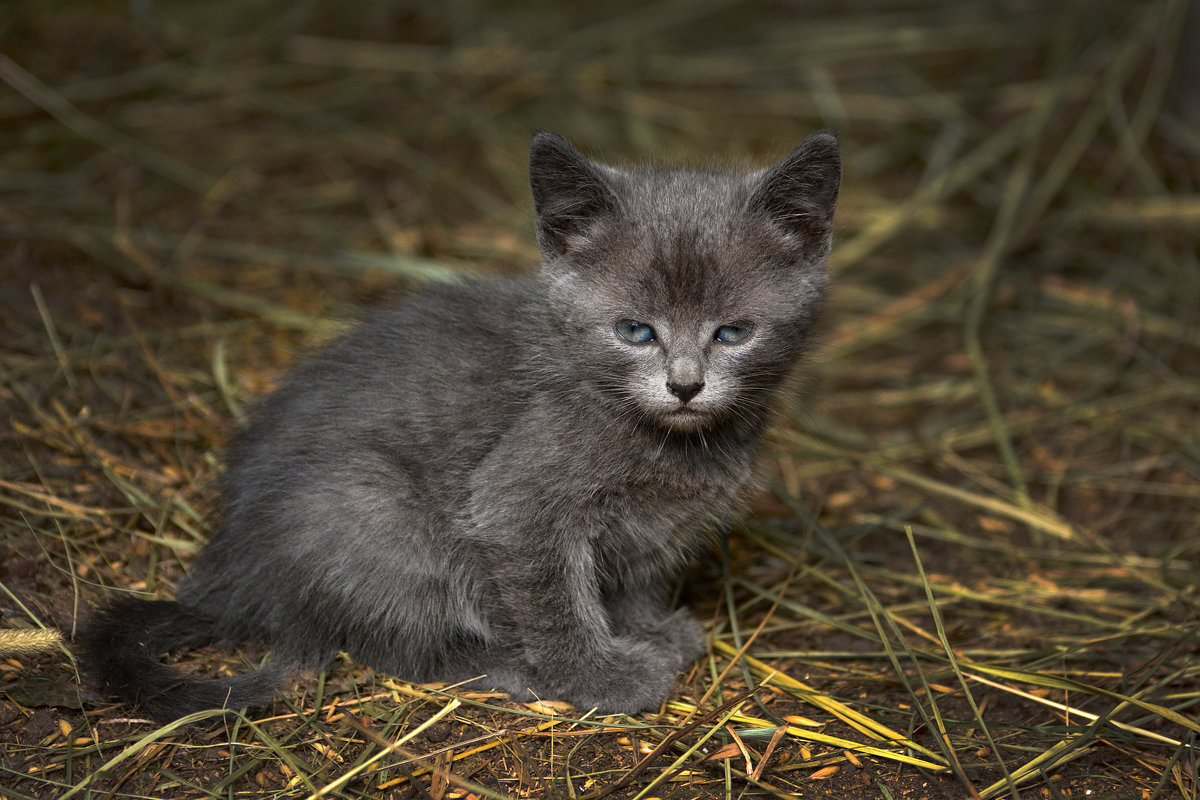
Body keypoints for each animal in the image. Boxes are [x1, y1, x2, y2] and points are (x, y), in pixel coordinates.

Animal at [79, 130, 840, 719]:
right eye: (635, 331)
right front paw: (603, 678)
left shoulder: (657, 527)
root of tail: (229, 578)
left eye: (733, 333)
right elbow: (555, 601)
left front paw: (650, 632)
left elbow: (634, 580)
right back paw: (508, 668)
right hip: (368, 508)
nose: (685, 385)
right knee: (393, 642)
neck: (667, 440)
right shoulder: (516, 502)